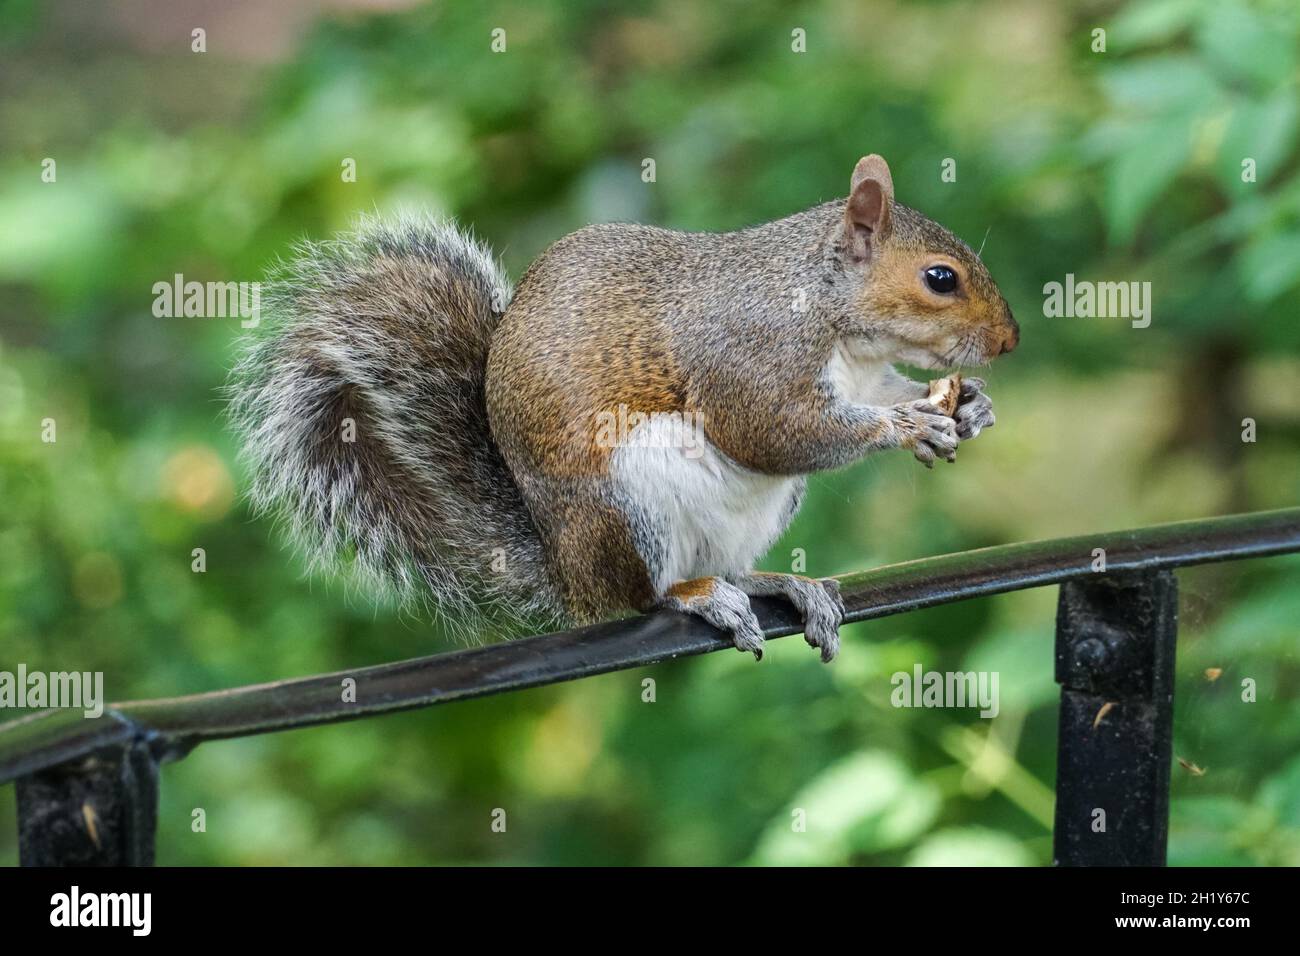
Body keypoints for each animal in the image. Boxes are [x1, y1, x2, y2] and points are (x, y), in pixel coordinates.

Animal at [229, 154, 1018, 662]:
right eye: (939, 279)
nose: (1009, 341)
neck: (833, 317)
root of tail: (567, 572)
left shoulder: (863, 374)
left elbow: (872, 397)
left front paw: (967, 408)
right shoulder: (749, 351)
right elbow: (769, 429)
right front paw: (905, 425)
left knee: (731, 565)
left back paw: (777, 583)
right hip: (630, 500)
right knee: (643, 595)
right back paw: (696, 596)